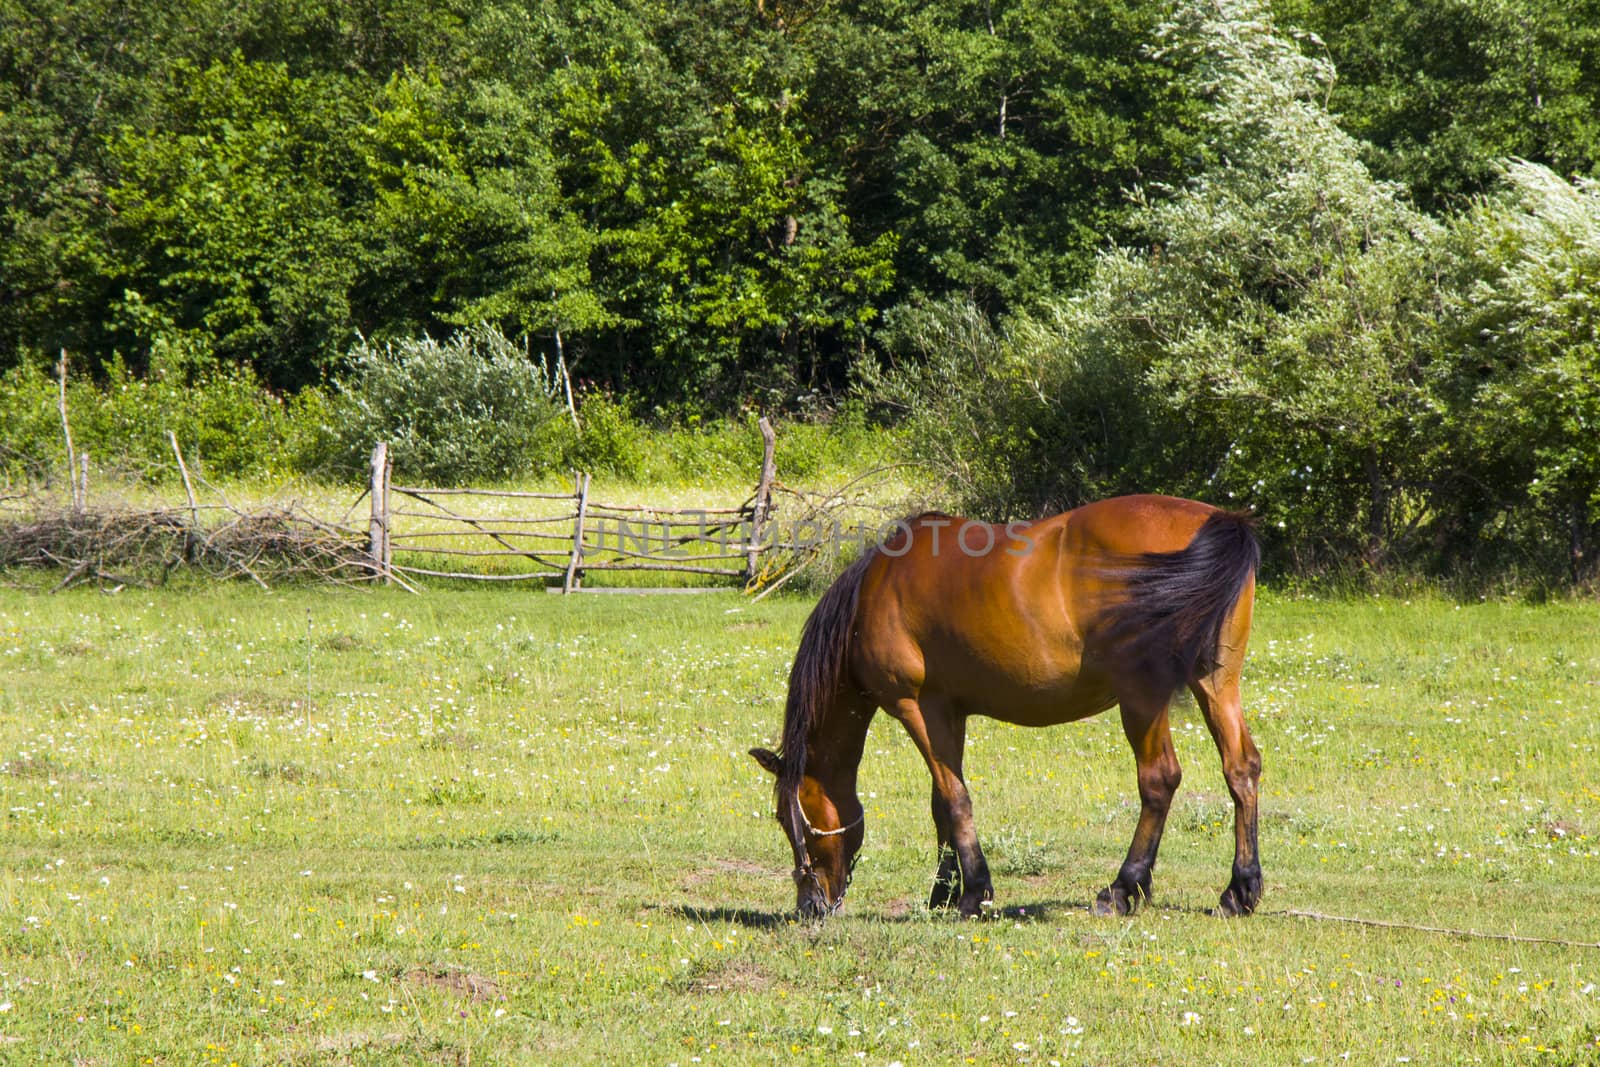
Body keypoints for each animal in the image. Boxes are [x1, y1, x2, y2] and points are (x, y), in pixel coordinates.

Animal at [748, 492, 1260, 921]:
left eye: (789, 820)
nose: (810, 906)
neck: (875, 593)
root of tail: (1219, 521)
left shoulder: (916, 707)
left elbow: (955, 800)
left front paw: (972, 893)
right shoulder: (948, 712)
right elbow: (941, 802)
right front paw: (943, 891)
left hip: (1142, 698)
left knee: (1159, 780)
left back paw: (1121, 889)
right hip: (1216, 685)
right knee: (1241, 769)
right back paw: (1240, 890)